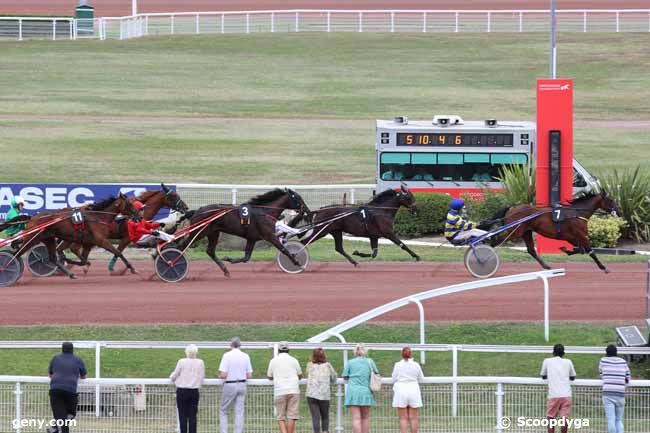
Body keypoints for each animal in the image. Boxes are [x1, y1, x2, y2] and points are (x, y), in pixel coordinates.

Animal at [1, 194, 139, 278]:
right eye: (129, 204)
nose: (139, 215)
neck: (97, 216)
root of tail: (32, 217)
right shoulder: (101, 241)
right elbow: (118, 252)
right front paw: (133, 268)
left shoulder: (88, 243)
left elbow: (83, 260)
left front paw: (72, 262)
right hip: (32, 238)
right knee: (17, 253)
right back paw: (6, 266)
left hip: (49, 239)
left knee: (52, 258)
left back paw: (70, 273)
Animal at [177, 188, 308, 276]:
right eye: (299, 198)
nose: (306, 210)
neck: (265, 212)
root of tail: (196, 211)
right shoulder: (269, 236)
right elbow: (284, 249)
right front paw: (297, 262)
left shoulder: (252, 238)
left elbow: (246, 258)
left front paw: (228, 259)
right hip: (199, 232)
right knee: (181, 246)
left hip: (213, 233)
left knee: (210, 251)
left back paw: (225, 270)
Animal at [488, 190, 620, 272]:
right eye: (611, 200)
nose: (619, 211)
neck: (577, 213)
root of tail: (512, 208)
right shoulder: (581, 235)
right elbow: (590, 251)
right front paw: (604, 267)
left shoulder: (572, 236)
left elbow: (580, 250)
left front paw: (565, 249)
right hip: (515, 231)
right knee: (495, 242)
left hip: (526, 232)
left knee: (531, 250)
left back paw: (546, 266)